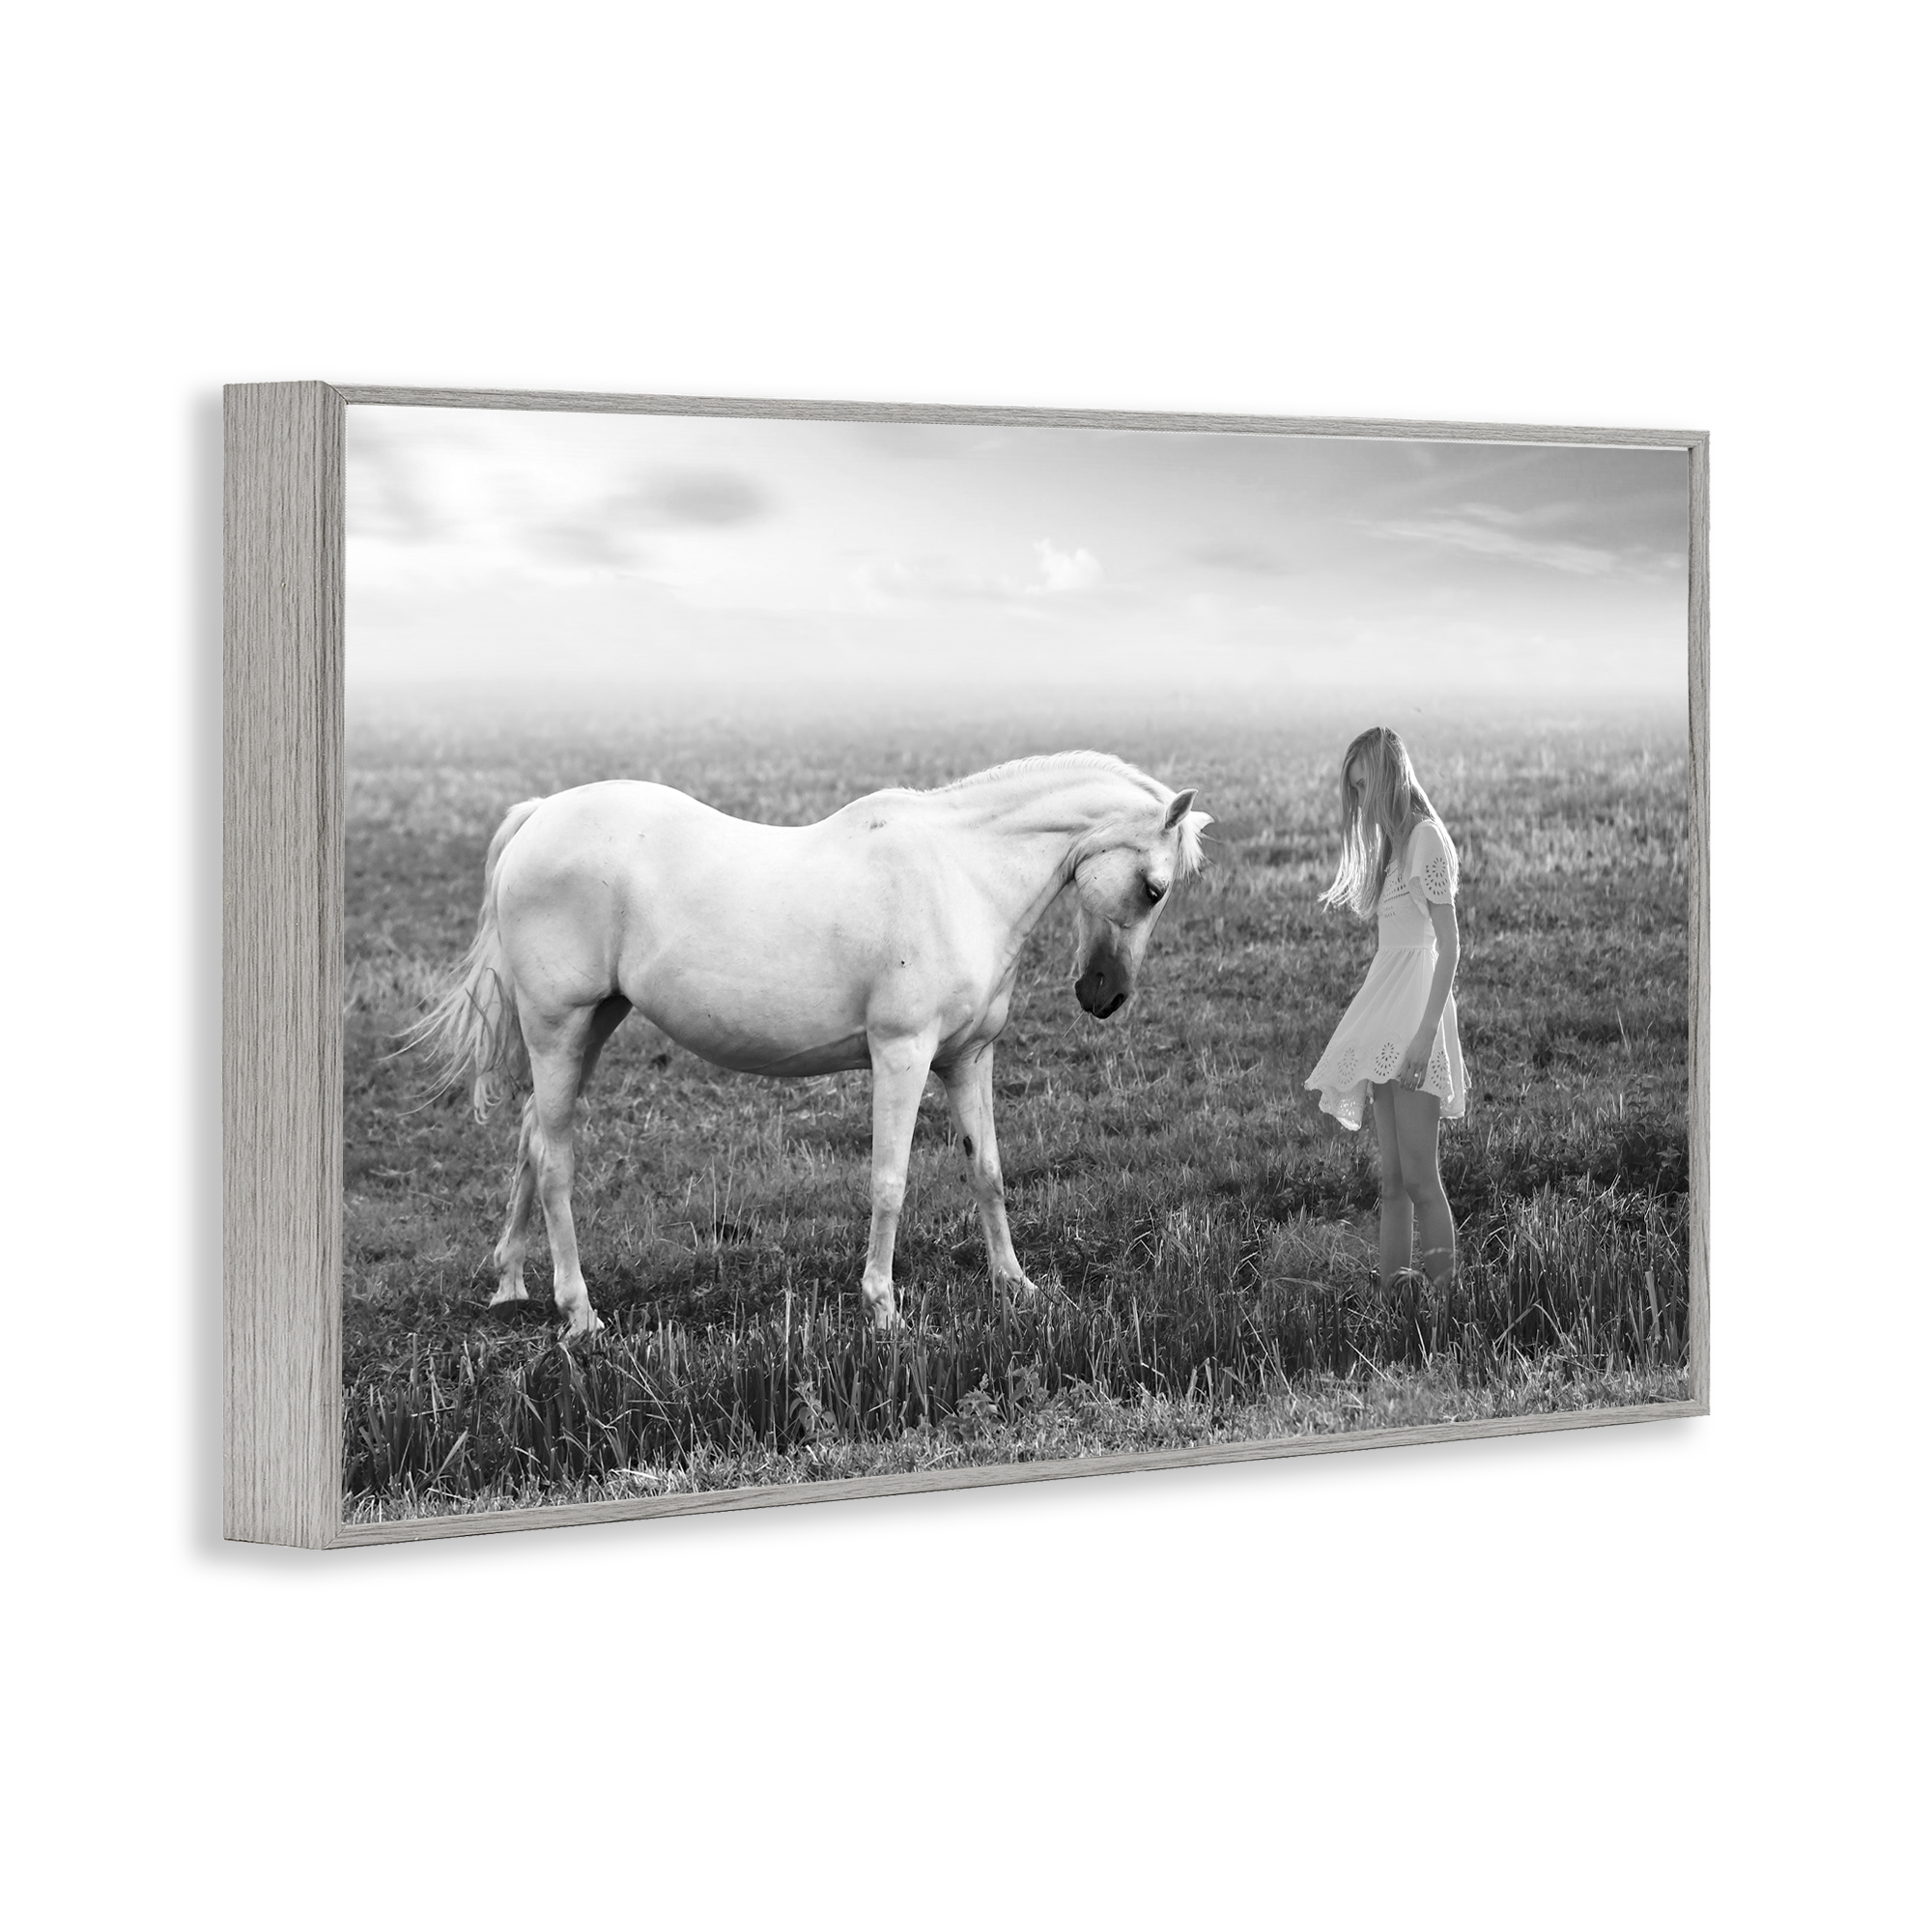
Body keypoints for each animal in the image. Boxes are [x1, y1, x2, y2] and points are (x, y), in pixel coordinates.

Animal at [411, 751, 1212, 1338]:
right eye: (1153, 888)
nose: (1104, 997)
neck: (960, 874)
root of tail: (539, 815)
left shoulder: (966, 1059)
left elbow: (987, 1171)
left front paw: (1015, 1285)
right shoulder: (902, 1055)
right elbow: (889, 1183)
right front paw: (883, 1308)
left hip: (593, 1025)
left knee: (531, 1138)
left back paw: (512, 1284)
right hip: (559, 1028)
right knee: (555, 1163)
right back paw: (579, 1315)